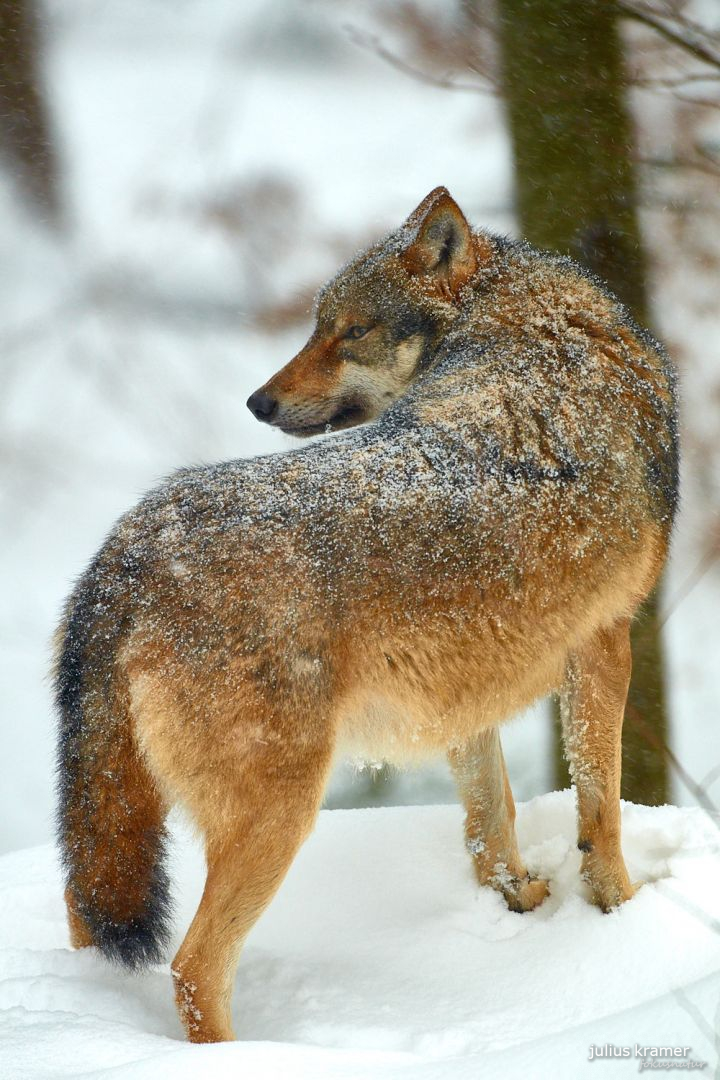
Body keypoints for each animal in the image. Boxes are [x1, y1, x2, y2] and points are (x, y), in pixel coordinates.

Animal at [55, 185, 677, 1036]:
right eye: (321, 327)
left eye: (349, 331)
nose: (258, 400)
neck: (535, 334)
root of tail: (130, 544)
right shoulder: (605, 644)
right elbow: (600, 806)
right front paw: (619, 910)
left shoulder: (465, 690)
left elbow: (491, 820)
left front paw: (518, 903)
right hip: (279, 816)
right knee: (192, 969)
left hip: (118, 823)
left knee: (87, 917)